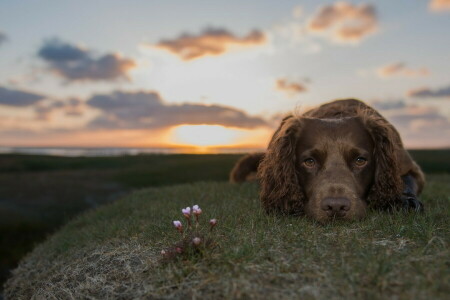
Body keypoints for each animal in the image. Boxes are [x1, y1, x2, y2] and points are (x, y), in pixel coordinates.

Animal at [230, 98, 424, 223]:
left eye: (360, 160)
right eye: (309, 161)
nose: (336, 207)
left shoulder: (407, 165)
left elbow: (406, 180)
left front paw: (404, 199)